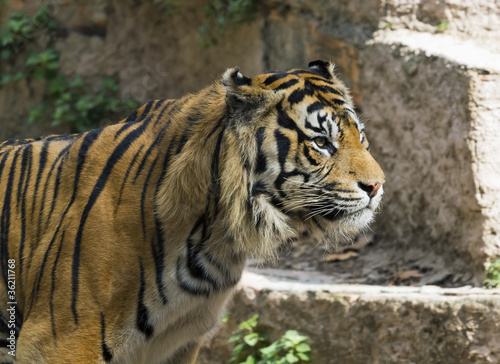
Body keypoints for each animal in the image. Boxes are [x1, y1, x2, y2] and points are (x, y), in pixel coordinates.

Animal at [0, 61, 386, 362]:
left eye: (361, 136)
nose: (378, 186)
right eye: (321, 142)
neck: (214, 237)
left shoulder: (178, 343)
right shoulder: (60, 341)